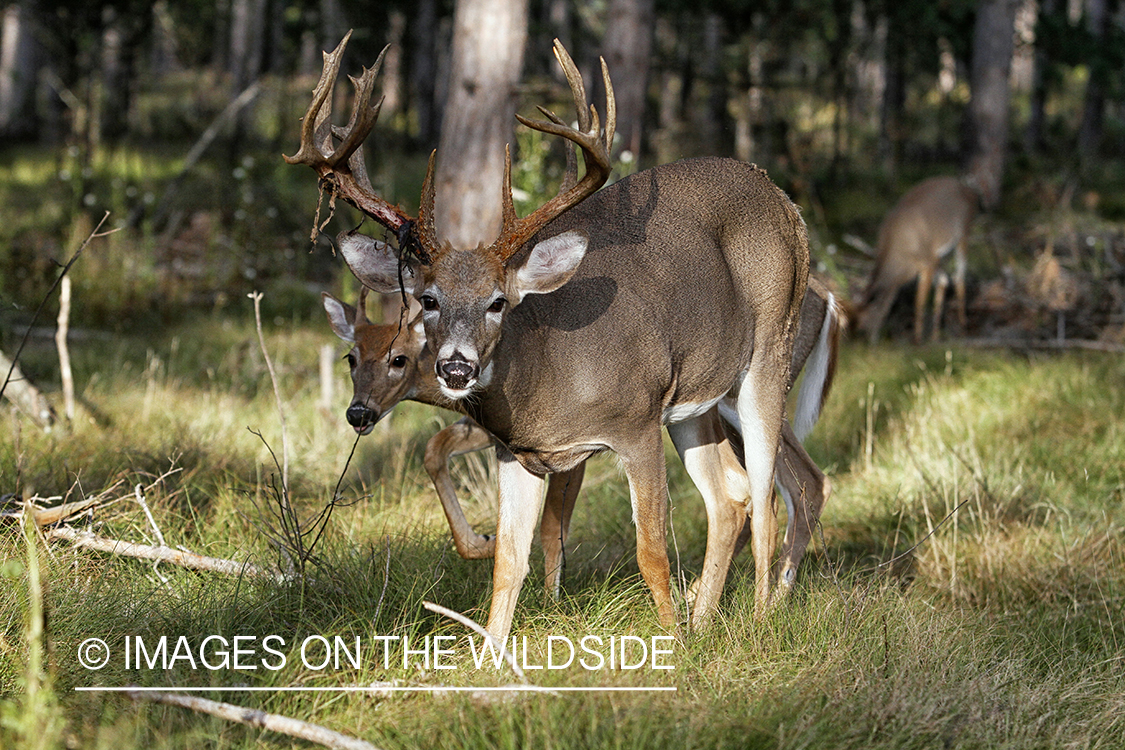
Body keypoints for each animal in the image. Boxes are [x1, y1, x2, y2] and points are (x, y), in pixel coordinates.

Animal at [292, 35, 810, 643]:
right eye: (429, 299)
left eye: (498, 301)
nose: (456, 368)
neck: (545, 382)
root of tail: (785, 200)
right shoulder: (516, 453)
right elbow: (508, 561)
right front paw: (491, 652)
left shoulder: (635, 423)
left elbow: (651, 552)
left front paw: (672, 645)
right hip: (693, 402)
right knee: (729, 494)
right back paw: (706, 622)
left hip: (769, 349)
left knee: (768, 495)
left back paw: (758, 620)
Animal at [855, 176, 981, 344]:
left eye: (863, 321)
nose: (862, 341)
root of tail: (970, 190)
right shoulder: (930, 259)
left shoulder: (927, 261)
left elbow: (918, 301)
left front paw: (917, 339)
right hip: (942, 253)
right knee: (945, 280)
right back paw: (935, 335)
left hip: (964, 232)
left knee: (958, 276)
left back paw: (962, 328)